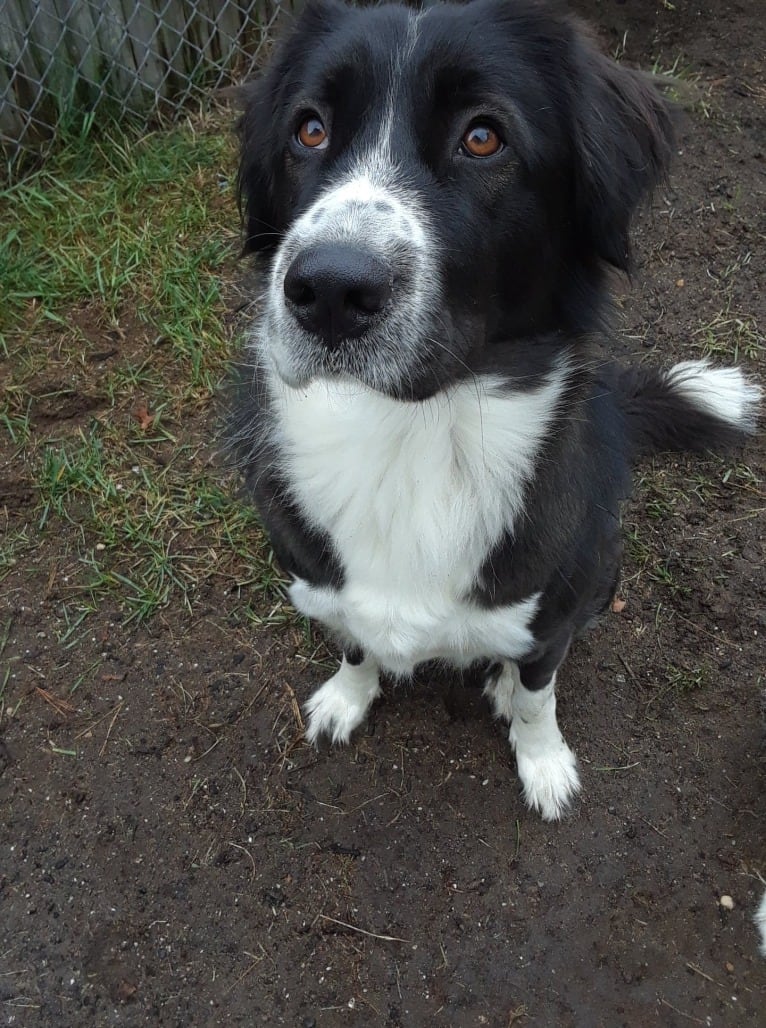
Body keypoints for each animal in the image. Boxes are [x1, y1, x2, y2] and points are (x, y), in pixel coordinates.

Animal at [231, 0, 760, 818]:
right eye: (309, 129)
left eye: (483, 137)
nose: (327, 291)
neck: (408, 439)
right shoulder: (323, 581)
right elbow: (354, 640)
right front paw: (347, 696)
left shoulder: (552, 611)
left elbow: (541, 691)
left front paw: (542, 761)